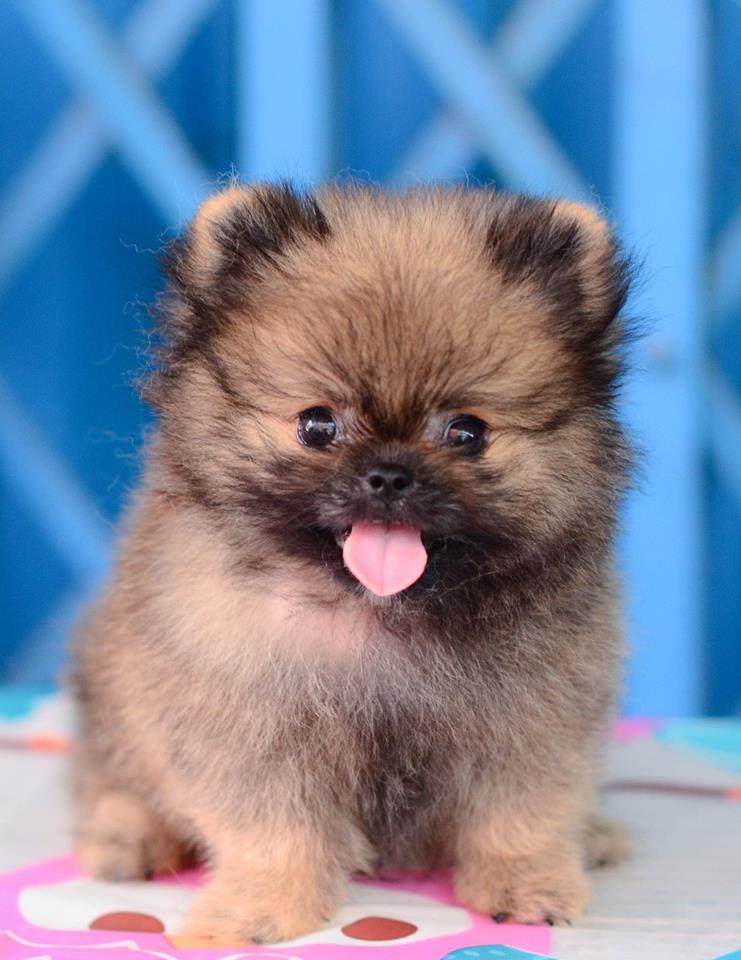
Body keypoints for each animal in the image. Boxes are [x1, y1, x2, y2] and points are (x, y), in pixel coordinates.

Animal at [73, 183, 634, 944]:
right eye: (318, 425)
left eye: (467, 433)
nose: (390, 474)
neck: (379, 615)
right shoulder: (253, 725)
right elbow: (274, 832)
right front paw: (261, 909)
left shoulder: (531, 723)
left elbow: (520, 815)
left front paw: (527, 883)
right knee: (114, 780)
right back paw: (127, 838)